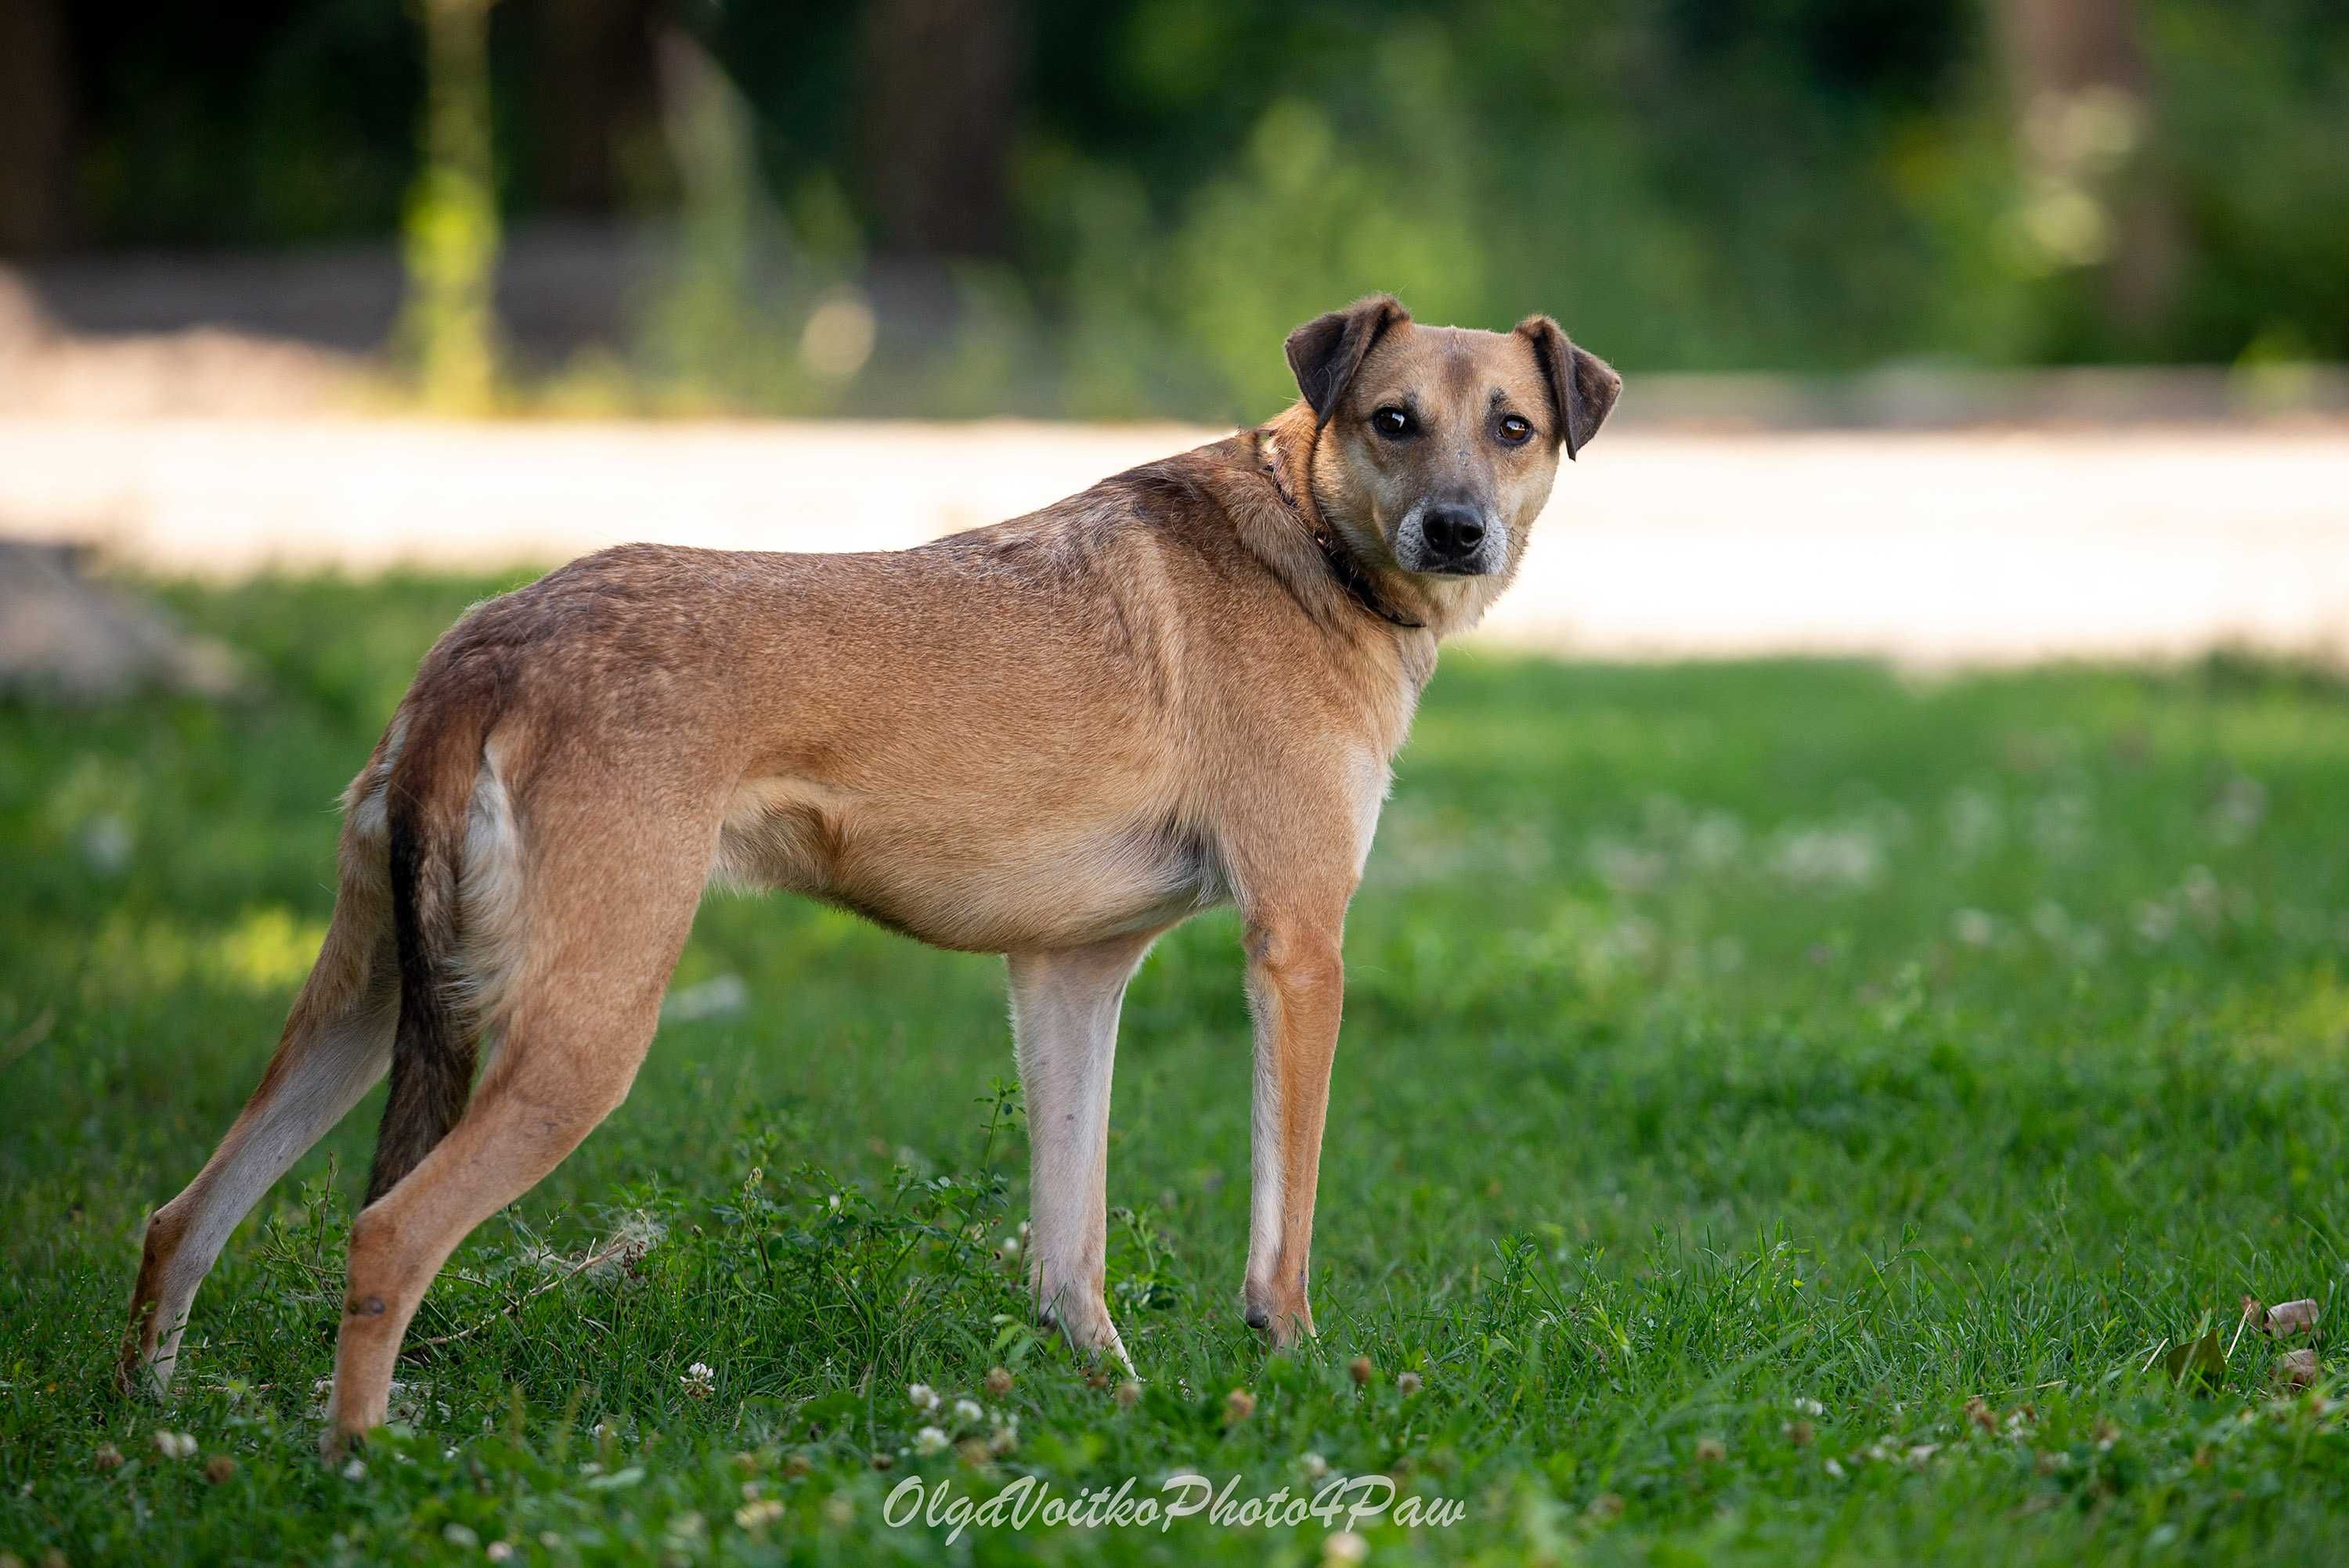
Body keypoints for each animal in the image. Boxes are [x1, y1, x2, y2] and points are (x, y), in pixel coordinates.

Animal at [124, 290, 1616, 1446]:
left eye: (1512, 427)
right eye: (1393, 420)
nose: (1458, 532)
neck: (1309, 537)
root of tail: (486, 646)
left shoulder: (1070, 972)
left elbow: (1069, 1249)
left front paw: (1116, 1406)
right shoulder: (1299, 944)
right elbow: (1280, 1226)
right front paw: (1289, 1369)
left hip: (368, 998)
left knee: (180, 1215)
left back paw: (151, 1428)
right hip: (581, 1035)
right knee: (385, 1234)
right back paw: (359, 1464)